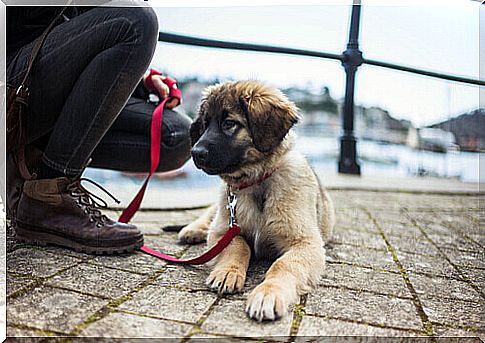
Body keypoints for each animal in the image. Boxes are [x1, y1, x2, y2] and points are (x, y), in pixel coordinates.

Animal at [178, 80, 332, 322]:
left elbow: (283, 264)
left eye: (229, 123)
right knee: (209, 215)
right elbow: (239, 246)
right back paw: (193, 230)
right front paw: (228, 272)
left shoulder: (306, 243)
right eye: (204, 124)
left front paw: (268, 293)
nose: (195, 152)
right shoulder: (223, 230)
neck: (257, 182)